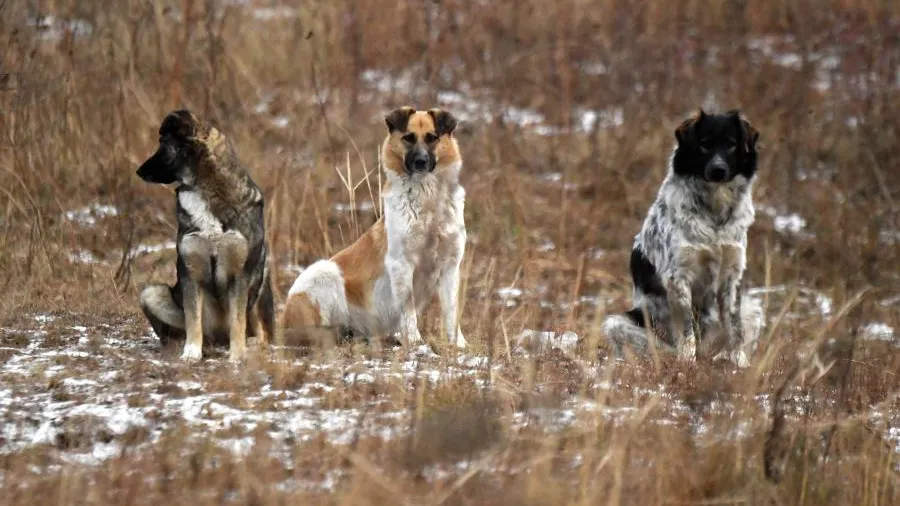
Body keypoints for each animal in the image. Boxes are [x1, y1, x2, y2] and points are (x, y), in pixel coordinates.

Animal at [278, 105, 468, 352]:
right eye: (408, 138)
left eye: (432, 138)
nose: (420, 162)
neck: (427, 202)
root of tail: (282, 320)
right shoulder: (400, 263)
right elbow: (408, 310)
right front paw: (415, 341)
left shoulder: (449, 267)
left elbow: (452, 312)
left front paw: (459, 344)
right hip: (324, 271)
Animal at [600, 108, 764, 366]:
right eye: (704, 144)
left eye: (731, 144)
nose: (718, 170)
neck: (714, 212)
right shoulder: (678, 277)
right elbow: (687, 331)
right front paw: (687, 363)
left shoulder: (732, 275)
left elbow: (735, 330)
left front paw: (739, 364)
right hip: (618, 322)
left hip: (753, 308)